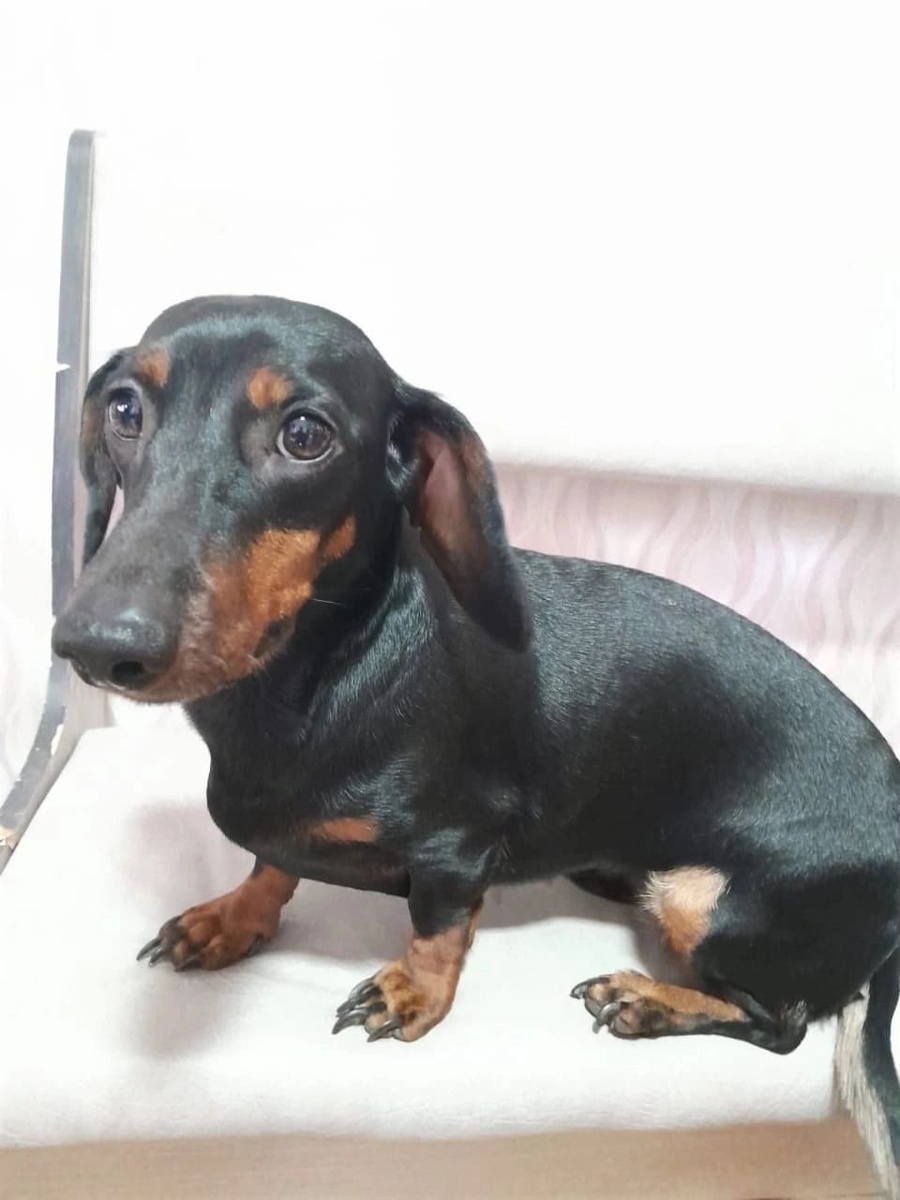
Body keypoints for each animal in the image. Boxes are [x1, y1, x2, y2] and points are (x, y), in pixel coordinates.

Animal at [52, 296, 900, 1192]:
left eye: (306, 434)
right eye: (125, 410)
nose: (95, 644)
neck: (319, 676)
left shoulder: (454, 845)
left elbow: (437, 925)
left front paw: (411, 993)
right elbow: (270, 862)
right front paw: (232, 918)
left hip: (702, 899)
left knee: (783, 1026)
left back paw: (645, 999)